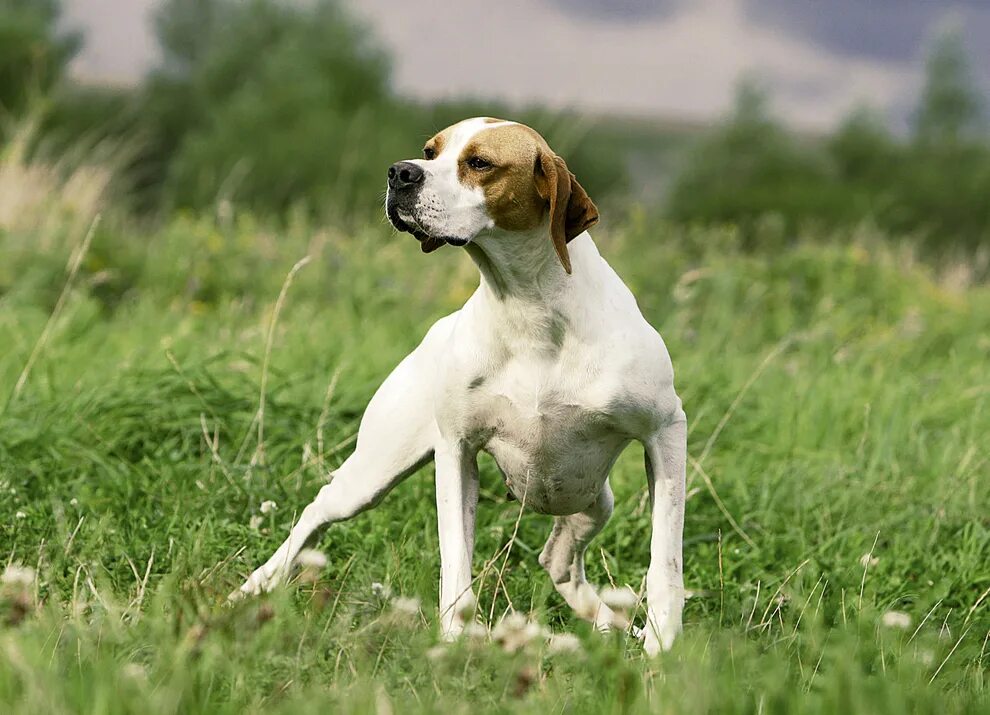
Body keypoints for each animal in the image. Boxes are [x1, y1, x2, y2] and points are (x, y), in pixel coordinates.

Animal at [237, 120, 688, 656]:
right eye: (430, 151)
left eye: (479, 163)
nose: (400, 173)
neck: (529, 307)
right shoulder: (457, 452)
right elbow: (456, 562)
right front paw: (455, 641)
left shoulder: (665, 434)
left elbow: (665, 563)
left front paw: (660, 647)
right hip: (371, 475)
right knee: (315, 511)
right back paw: (254, 586)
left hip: (590, 498)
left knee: (556, 559)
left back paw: (612, 628)